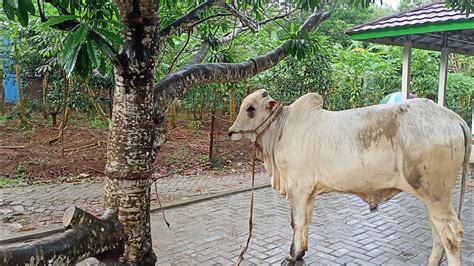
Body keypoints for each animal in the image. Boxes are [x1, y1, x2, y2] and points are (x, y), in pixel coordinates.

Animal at [228, 90, 468, 266]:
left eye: (250, 109)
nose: (230, 132)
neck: (282, 130)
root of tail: (454, 118)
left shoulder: (298, 187)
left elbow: (296, 221)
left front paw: (292, 255)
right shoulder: (309, 191)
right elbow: (307, 219)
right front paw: (301, 251)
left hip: (437, 195)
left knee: (451, 236)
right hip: (432, 197)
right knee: (438, 234)